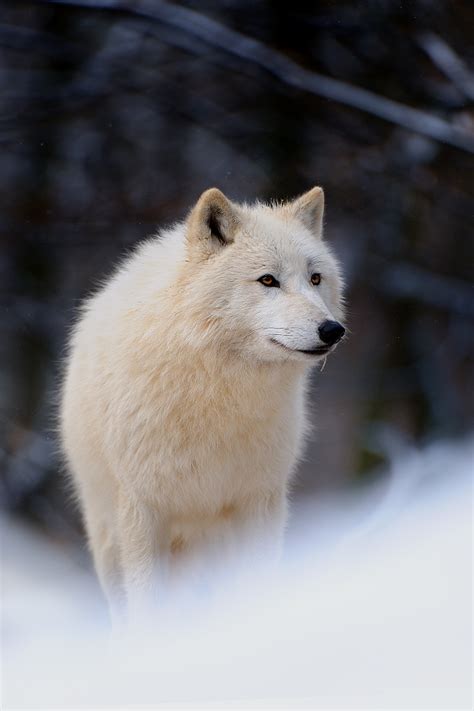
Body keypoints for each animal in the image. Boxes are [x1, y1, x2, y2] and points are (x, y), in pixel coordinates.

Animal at [60, 186, 345, 618]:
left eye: (315, 278)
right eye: (268, 280)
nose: (333, 330)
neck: (218, 393)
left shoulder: (259, 501)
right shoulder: (144, 510)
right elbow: (147, 606)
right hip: (109, 542)